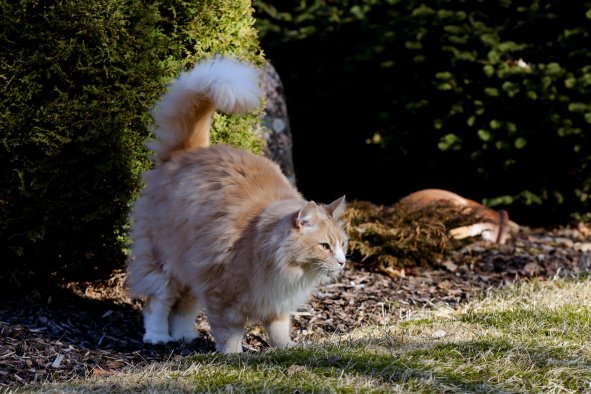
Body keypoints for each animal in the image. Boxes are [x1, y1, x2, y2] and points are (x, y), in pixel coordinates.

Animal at [127, 56, 350, 354]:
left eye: (342, 244)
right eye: (324, 246)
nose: (341, 261)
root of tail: (187, 151)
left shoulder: (274, 302)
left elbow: (278, 328)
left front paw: (285, 349)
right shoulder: (223, 294)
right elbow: (228, 331)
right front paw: (233, 356)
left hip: (193, 268)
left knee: (184, 307)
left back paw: (184, 336)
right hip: (164, 262)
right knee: (157, 303)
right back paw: (158, 336)